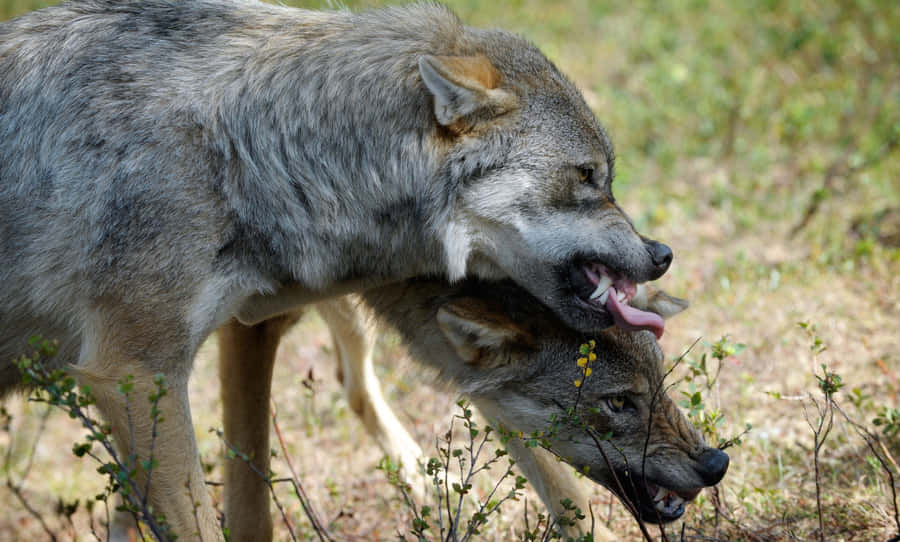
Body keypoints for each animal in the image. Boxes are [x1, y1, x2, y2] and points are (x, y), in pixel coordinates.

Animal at [1, 1, 674, 539]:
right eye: (587, 177)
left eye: (605, 176)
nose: (661, 254)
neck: (253, 145)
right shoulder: (134, 373)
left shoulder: (247, 326)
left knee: (354, 383)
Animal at [212, 281, 728, 542]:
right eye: (618, 402)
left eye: (661, 382)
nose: (716, 464)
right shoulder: (244, 323)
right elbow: (248, 503)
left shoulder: (479, 382)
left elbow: (567, 497)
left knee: (352, 386)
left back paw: (423, 478)